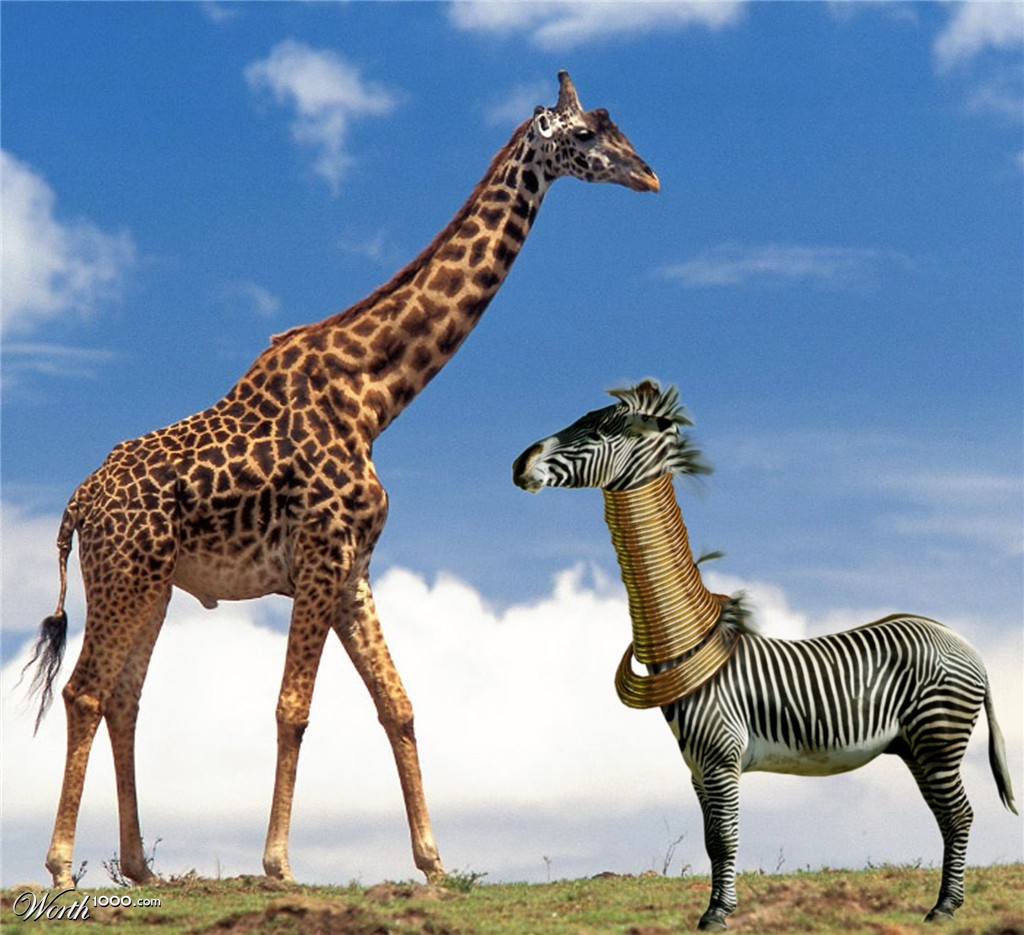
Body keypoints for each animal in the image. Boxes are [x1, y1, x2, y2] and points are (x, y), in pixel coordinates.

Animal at [24, 71, 659, 890]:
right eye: (585, 134)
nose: (648, 174)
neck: (376, 396)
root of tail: (75, 504)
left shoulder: (354, 566)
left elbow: (400, 704)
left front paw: (433, 864)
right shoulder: (321, 554)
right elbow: (293, 706)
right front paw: (277, 864)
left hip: (152, 584)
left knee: (124, 698)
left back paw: (139, 868)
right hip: (125, 574)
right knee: (86, 690)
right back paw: (63, 868)